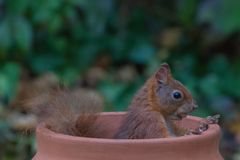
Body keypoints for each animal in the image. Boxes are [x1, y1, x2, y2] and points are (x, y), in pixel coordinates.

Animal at [27, 63, 214, 138]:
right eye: (177, 95)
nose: (195, 106)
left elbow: (179, 131)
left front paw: (204, 124)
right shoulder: (149, 125)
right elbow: (164, 138)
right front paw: (193, 132)